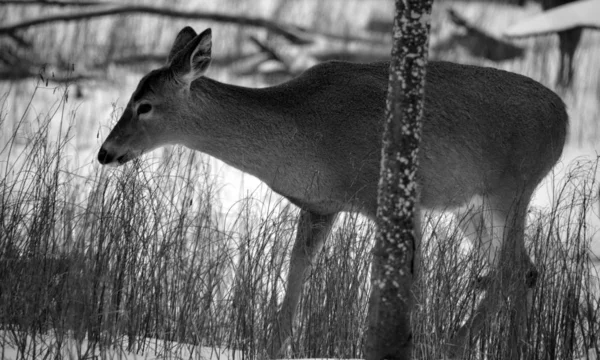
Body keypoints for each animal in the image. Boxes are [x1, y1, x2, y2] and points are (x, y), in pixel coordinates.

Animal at [97, 26, 568, 358]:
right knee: (526, 270)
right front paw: (274, 347)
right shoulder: (320, 205)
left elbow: (400, 281)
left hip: (512, 188)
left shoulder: (391, 197)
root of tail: (562, 115)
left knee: (513, 271)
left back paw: (456, 346)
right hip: (470, 208)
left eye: (145, 105)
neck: (305, 134)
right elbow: (296, 273)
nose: (105, 152)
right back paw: (514, 350)